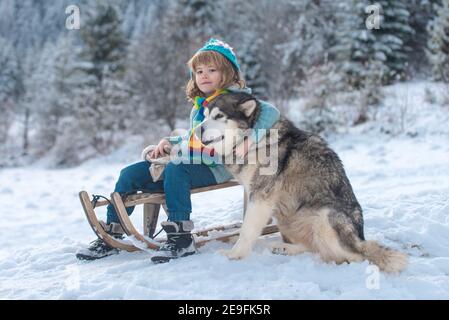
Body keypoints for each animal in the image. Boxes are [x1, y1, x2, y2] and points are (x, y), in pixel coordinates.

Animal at [199, 92, 406, 272]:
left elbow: (246, 230)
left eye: (219, 116)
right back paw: (285, 248)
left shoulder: (260, 196)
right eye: (205, 116)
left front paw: (234, 255)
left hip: (326, 217)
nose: (197, 129)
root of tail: (360, 237)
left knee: (355, 256)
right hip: (286, 216)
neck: (253, 141)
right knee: (314, 247)